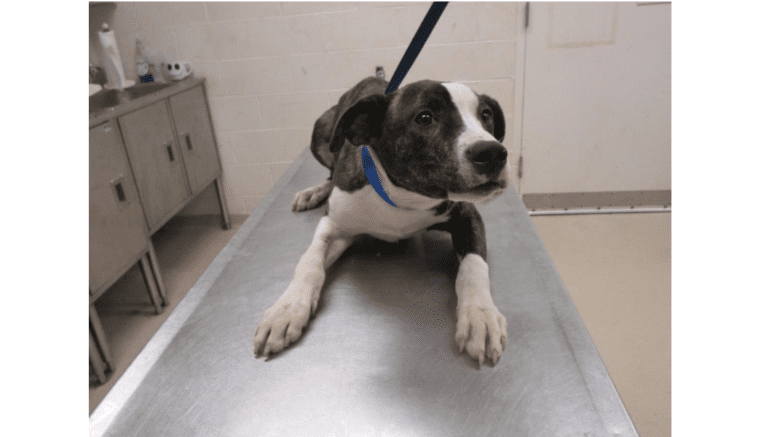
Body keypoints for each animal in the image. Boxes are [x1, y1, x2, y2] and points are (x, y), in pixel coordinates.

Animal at [253, 77, 510, 364]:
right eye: (425, 117)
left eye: (485, 115)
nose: (493, 152)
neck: (403, 198)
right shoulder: (336, 225)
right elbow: (310, 260)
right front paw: (287, 308)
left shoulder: (467, 216)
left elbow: (473, 267)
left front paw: (480, 315)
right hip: (321, 132)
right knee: (330, 173)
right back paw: (314, 192)